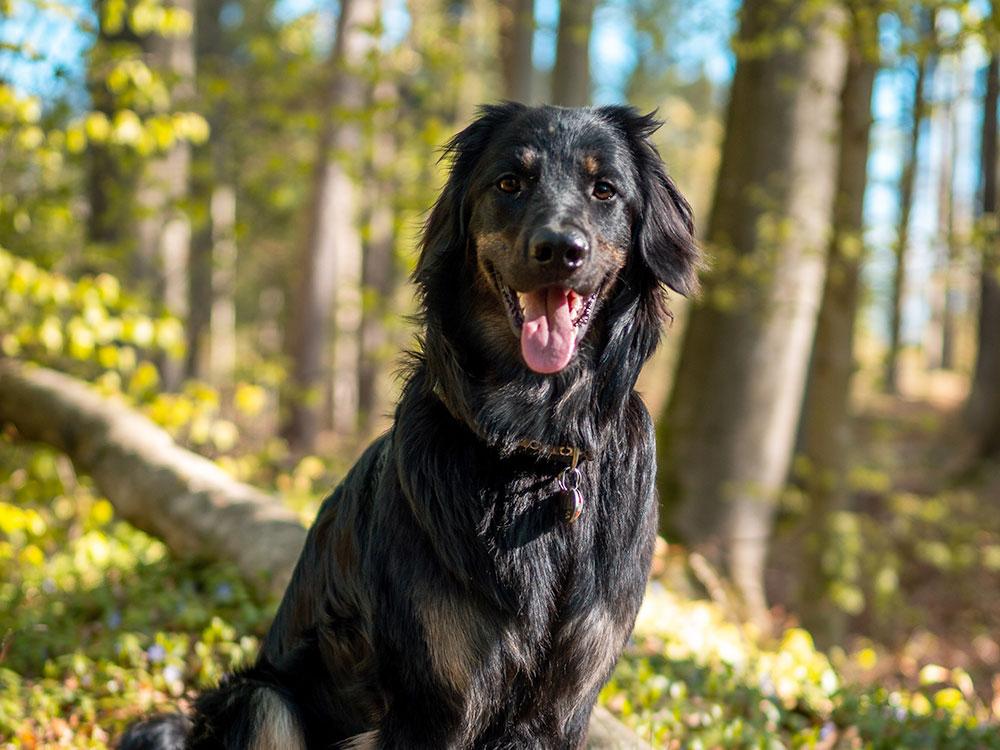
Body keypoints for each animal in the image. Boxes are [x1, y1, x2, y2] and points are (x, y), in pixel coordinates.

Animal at [121, 101, 700, 750]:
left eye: (605, 190)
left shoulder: (560, 708)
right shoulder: (430, 702)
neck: (532, 448)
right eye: (510, 183)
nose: (559, 248)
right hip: (263, 700)